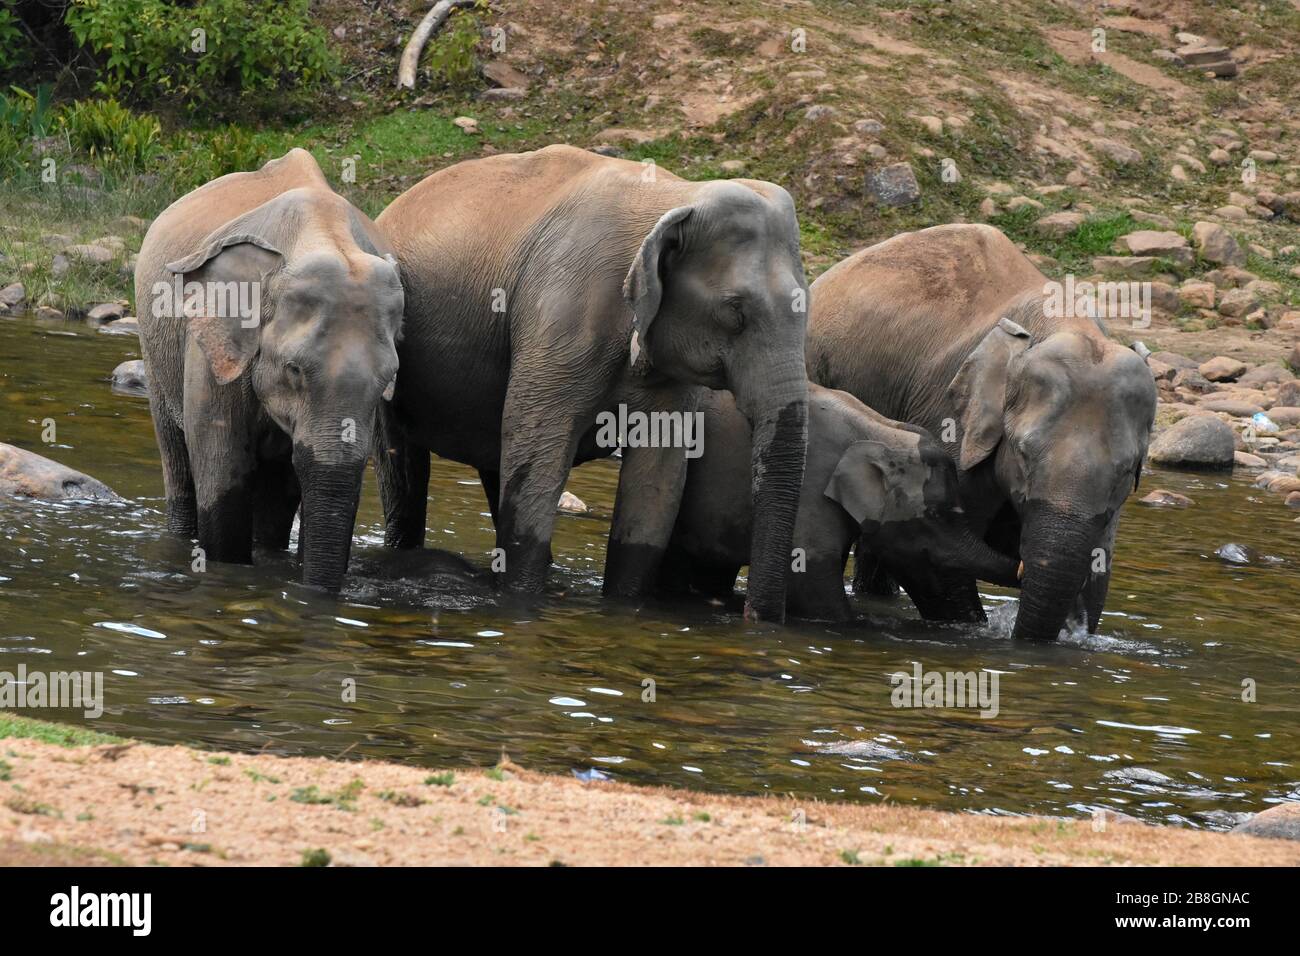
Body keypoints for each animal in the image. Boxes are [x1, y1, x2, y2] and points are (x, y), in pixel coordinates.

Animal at [134, 147, 403, 590]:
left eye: (386, 381)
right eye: (294, 370)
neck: (323, 233)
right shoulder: (211, 343)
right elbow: (221, 463)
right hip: (154, 349)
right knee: (176, 458)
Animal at [371, 141, 806, 621]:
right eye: (735, 313)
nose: (750, 616)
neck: (678, 194)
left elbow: (658, 477)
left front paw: (624, 608)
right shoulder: (561, 319)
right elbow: (540, 446)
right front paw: (522, 602)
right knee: (406, 471)